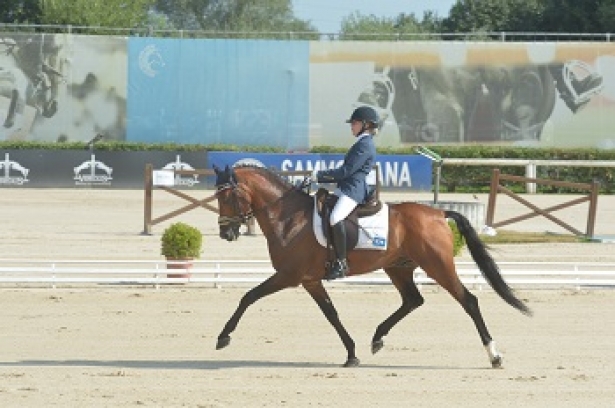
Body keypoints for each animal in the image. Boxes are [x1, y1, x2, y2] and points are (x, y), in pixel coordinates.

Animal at [214, 161, 532, 368]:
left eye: (227, 195)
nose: (226, 233)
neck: (288, 217)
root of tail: (439, 213)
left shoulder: (288, 275)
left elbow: (248, 297)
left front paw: (223, 337)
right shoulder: (310, 280)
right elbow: (331, 314)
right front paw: (352, 354)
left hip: (437, 266)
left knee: (469, 301)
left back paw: (494, 356)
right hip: (398, 267)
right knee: (413, 300)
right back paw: (378, 338)